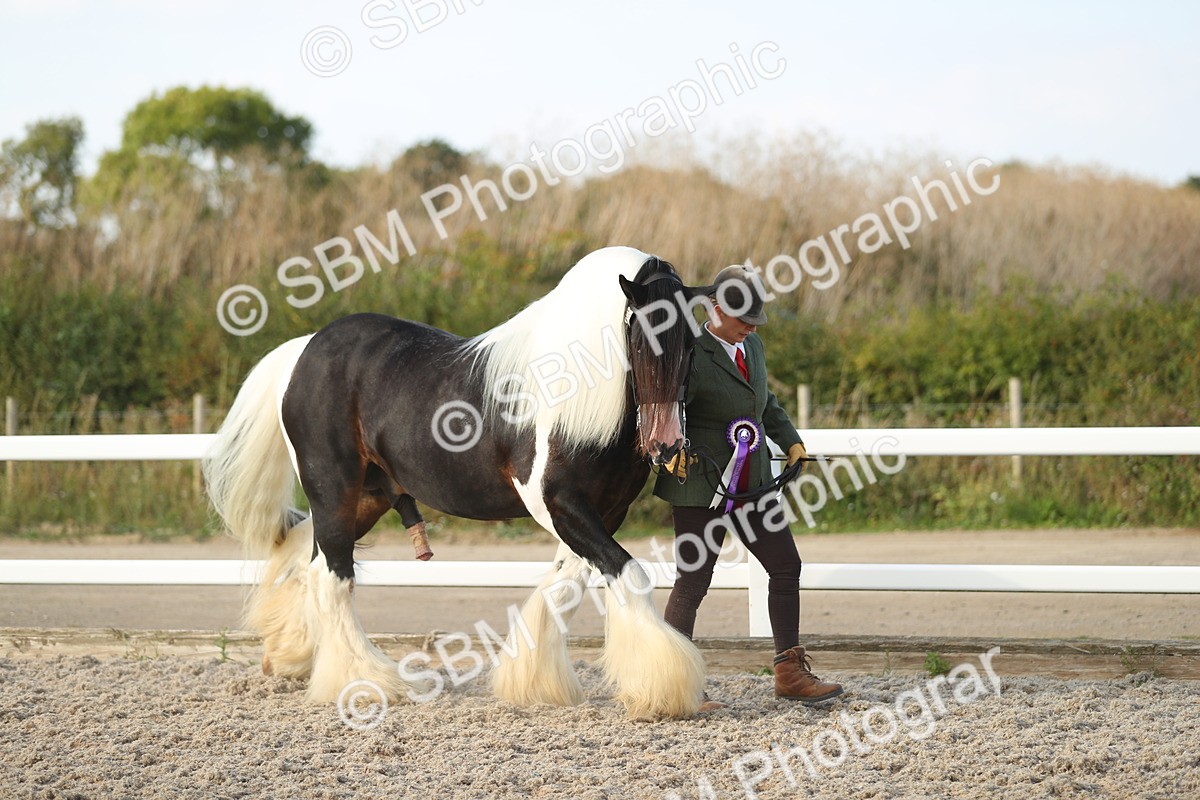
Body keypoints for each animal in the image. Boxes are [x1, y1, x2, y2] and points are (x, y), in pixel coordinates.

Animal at [203, 246, 711, 719]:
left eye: (692, 345)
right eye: (641, 342)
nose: (667, 444)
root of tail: (304, 349)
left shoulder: (603, 512)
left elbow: (564, 587)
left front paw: (535, 685)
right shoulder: (558, 503)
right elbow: (628, 575)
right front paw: (665, 689)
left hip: (365, 499)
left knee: (313, 567)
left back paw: (291, 658)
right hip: (333, 490)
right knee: (334, 578)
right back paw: (368, 682)